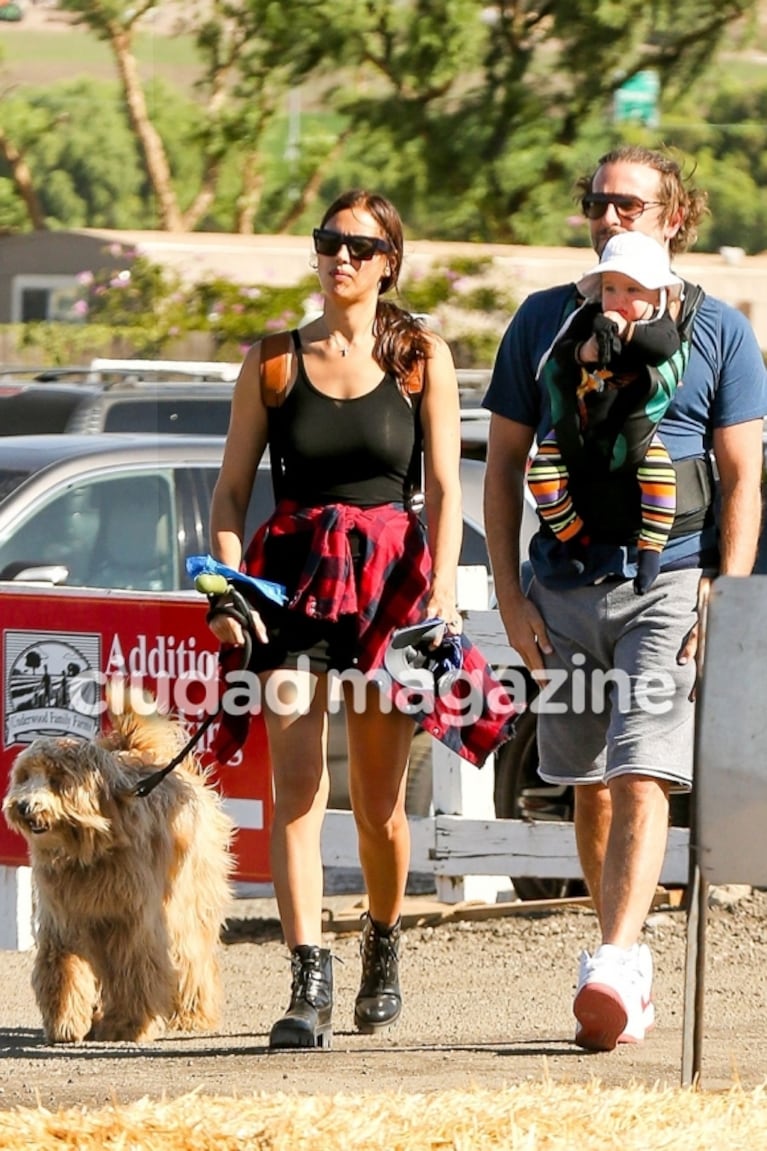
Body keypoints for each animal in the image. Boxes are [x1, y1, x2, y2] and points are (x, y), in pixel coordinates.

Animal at [1, 690, 232, 1045]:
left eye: (56, 779)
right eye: (25, 777)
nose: (24, 806)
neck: (89, 853)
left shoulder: (132, 925)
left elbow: (134, 974)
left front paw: (128, 1025)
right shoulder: (64, 922)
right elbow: (64, 970)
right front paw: (65, 1022)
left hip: (185, 904)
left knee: (191, 959)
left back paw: (193, 1014)